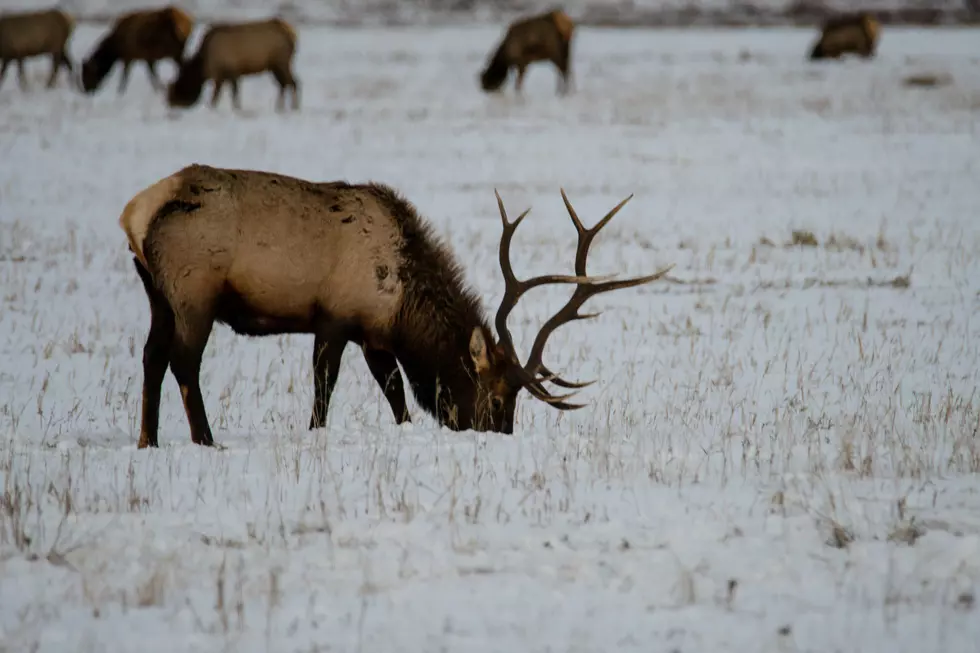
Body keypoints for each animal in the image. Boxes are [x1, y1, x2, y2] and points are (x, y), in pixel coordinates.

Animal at [118, 164, 670, 448]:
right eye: (497, 398)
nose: (499, 438)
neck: (404, 302)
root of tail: (135, 213)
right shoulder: (337, 318)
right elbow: (324, 388)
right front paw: (316, 434)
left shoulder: (375, 337)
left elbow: (396, 396)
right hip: (194, 292)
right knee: (183, 362)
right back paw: (205, 439)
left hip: (155, 292)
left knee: (150, 357)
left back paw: (148, 439)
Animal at [167, 18, 299, 111]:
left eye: (178, 86)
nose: (171, 104)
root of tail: (292, 34)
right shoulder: (225, 75)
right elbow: (221, 96)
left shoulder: (229, 72)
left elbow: (225, 95)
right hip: (273, 65)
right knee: (284, 84)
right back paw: (279, 108)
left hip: (282, 62)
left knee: (293, 82)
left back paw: (294, 108)